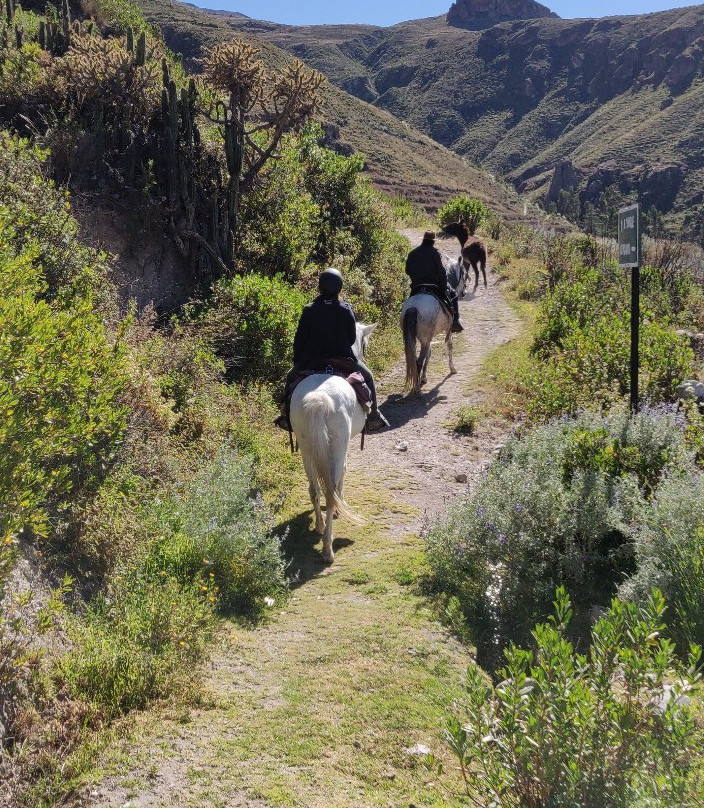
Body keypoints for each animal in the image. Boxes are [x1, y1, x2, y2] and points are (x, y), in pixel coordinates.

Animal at [288, 320, 376, 560]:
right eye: (364, 343)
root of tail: (319, 398)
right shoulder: (343, 448)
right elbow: (343, 473)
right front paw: (340, 506)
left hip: (306, 447)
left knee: (314, 488)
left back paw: (319, 526)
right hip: (336, 445)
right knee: (329, 490)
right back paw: (328, 547)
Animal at [402, 256, 468, 394]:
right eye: (463, 273)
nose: (464, 292)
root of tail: (413, 307)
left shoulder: (429, 339)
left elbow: (429, 353)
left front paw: (424, 377)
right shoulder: (448, 331)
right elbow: (449, 346)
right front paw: (452, 369)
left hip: (415, 339)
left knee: (416, 358)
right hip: (424, 340)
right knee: (418, 361)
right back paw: (417, 388)